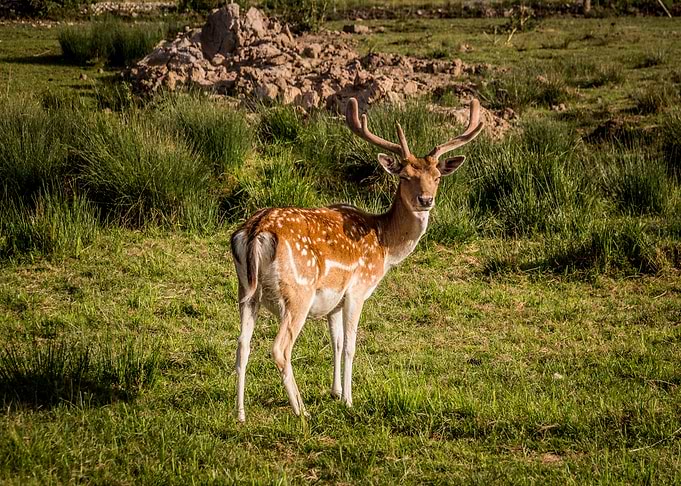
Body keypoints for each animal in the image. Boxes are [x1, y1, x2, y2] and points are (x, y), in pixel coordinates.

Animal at [230, 97, 484, 422]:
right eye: (404, 176)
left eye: (437, 177)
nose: (426, 200)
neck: (385, 245)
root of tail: (255, 231)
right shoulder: (358, 288)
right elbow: (351, 345)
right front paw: (349, 400)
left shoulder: (334, 301)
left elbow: (336, 343)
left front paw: (336, 392)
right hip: (298, 291)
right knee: (279, 348)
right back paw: (301, 411)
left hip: (246, 290)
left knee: (242, 345)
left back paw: (240, 414)